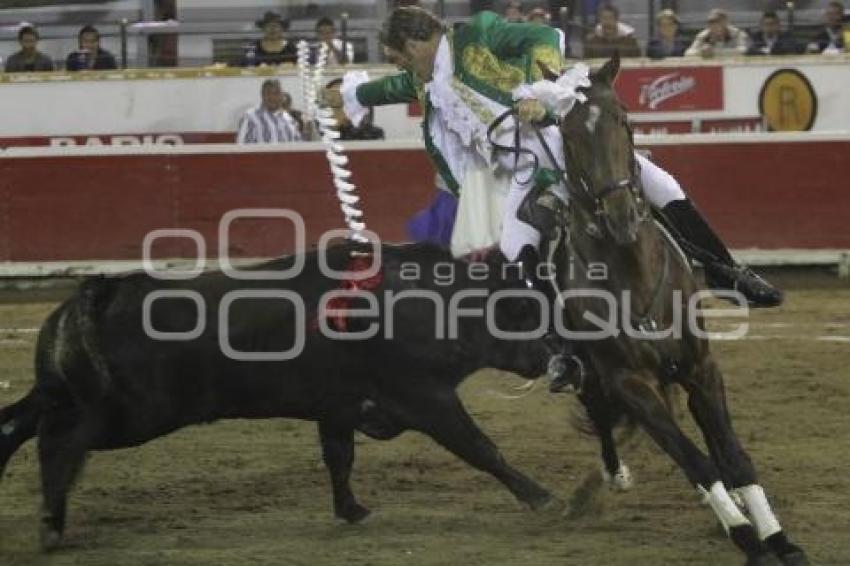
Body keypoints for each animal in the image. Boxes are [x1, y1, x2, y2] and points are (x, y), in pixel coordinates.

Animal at [1, 241, 564, 552]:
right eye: (523, 311)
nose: (556, 361)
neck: (429, 303)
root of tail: (97, 294)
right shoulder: (427, 398)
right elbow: (482, 448)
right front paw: (544, 498)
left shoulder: (337, 407)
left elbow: (339, 458)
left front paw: (352, 510)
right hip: (129, 414)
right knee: (59, 442)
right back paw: (51, 526)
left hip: (67, 392)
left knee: (18, 421)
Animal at [544, 56, 808, 566]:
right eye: (567, 132)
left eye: (624, 119)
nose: (621, 216)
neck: (634, 272)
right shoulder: (629, 382)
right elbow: (695, 461)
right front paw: (747, 537)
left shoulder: (701, 368)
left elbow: (733, 455)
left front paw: (777, 536)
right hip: (591, 372)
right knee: (602, 415)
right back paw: (611, 478)